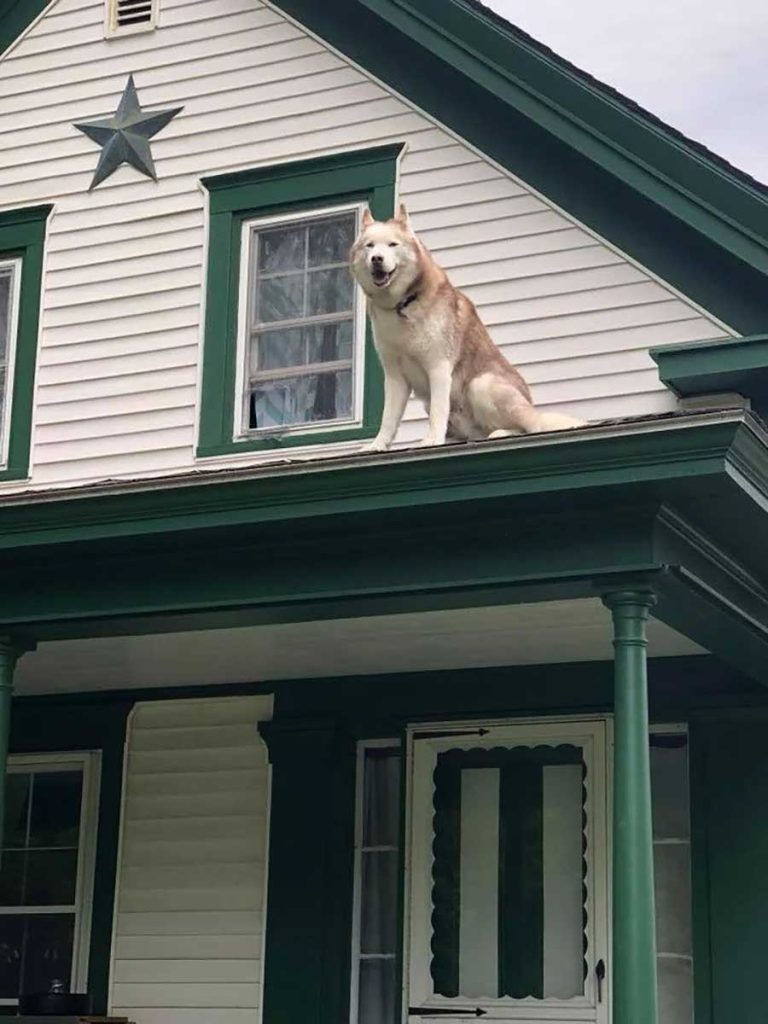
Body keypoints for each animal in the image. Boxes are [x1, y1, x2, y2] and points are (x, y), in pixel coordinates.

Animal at [352, 201, 585, 450]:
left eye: (392, 244)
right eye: (370, 246)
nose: (376, 258)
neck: (403, 304)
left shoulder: (439, 365)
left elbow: (438, 411)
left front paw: (432, 441)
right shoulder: (395, 375)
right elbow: (388, 419)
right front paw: (377, 445)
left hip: (482, 384)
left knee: (532, 427)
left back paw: (501, 433)